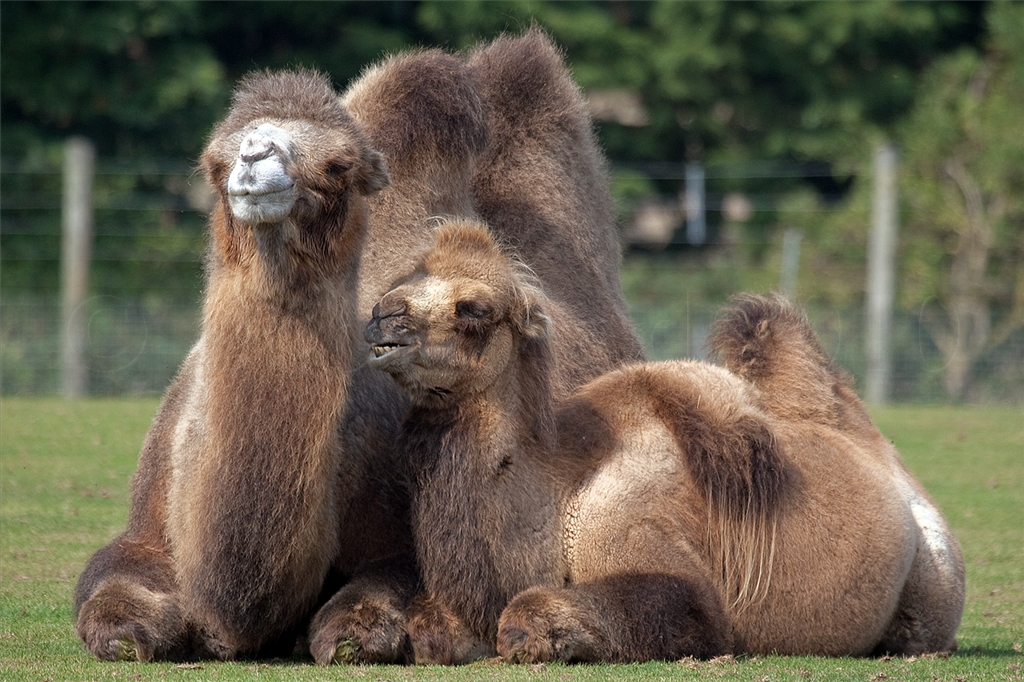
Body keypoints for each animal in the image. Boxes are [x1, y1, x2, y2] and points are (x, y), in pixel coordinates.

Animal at [74, 30, 645, 663]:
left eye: (338, 165)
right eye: (217, 159)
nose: (256, 155)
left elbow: (370, 610)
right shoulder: (145, 526)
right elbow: (109, 597)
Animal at [365, 218, 966, 664]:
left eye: (475, 309)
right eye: (402, 282)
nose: (381, 319)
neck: (557, 491)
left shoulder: (656, 551)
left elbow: (529, 616)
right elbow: (429, 632)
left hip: (934, 578)